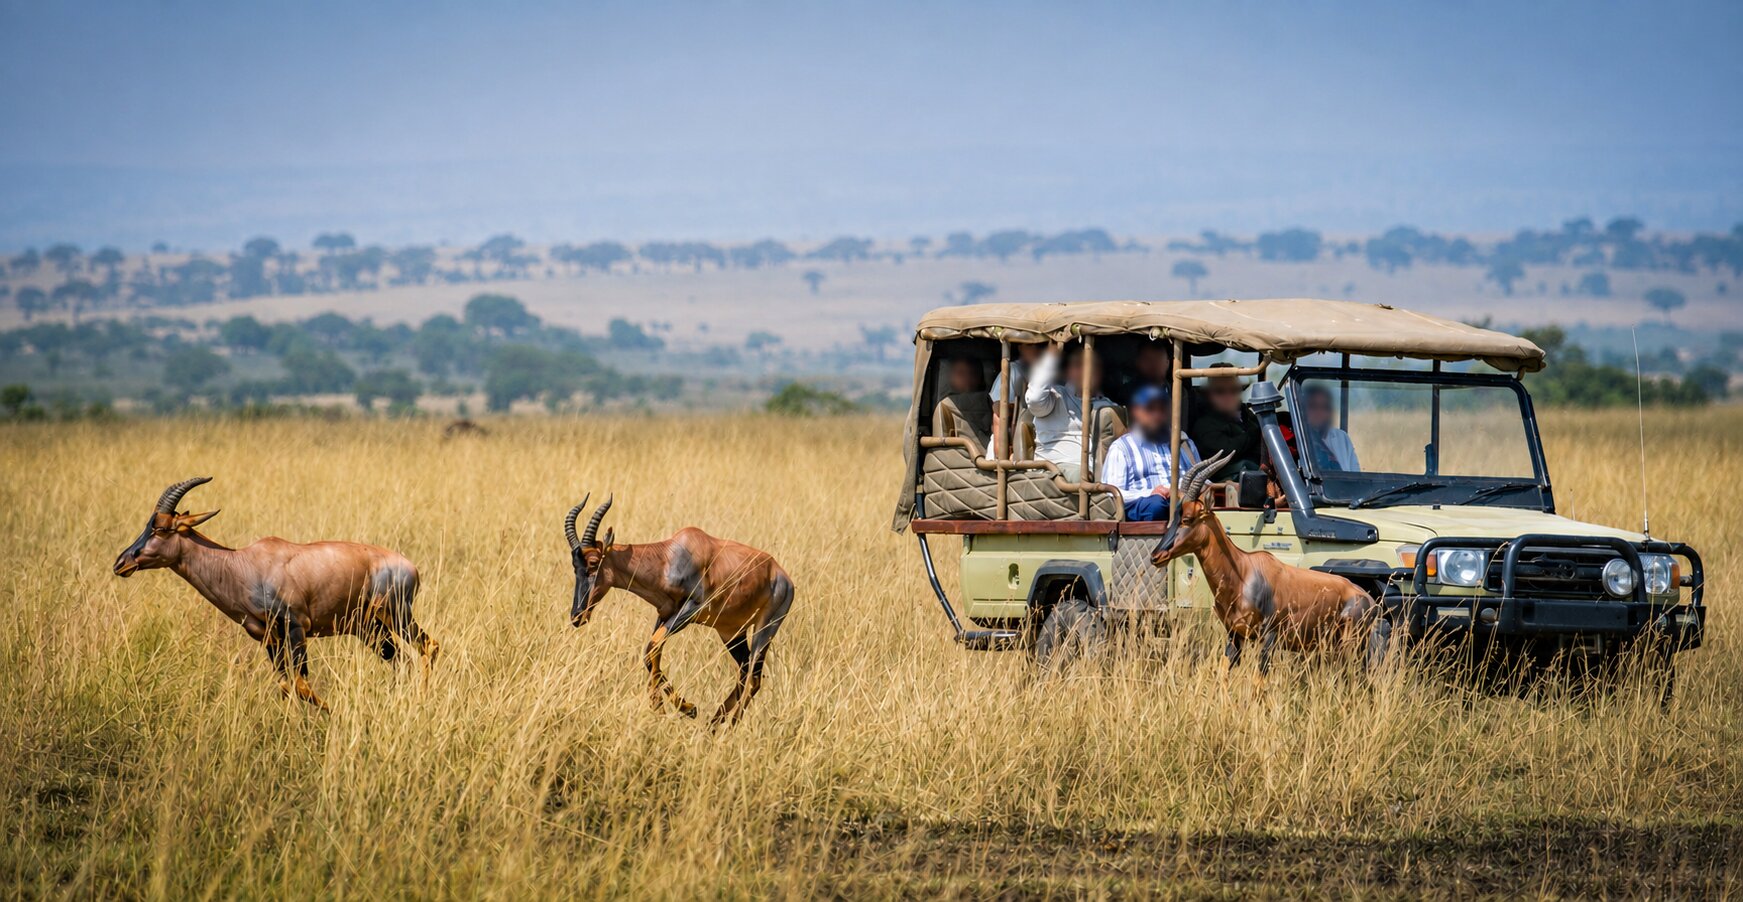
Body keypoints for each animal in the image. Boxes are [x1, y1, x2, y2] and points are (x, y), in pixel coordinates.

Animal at [112, 477, 440, 710]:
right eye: (148, 525)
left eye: (162, 528)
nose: (121, 563)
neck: (243, 563)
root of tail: (410, 567)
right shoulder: (268, 636)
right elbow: (286, 685)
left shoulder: (296, 626)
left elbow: (301, 683)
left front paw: (330, 714)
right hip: (368, 628)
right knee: (400, 659)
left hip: (396, 615)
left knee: (429, 646)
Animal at [564, 495, 796, 728]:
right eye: (574, 565)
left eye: (593, 562)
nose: (577, 616)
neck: (669, 557)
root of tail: (782, 575)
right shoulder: (665, 614)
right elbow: (651, 653)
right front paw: (672, 707)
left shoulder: (692, 609)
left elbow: (651, 648)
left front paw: (682, 708)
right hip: (731, 633)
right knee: (745, 670)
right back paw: (712, 724)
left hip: (765, 628)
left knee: (754, 679)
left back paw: (729, 727)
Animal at [1150, 452, 1391, 674]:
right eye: (1174, 515)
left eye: (1188, 518)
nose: (1156, 556)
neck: (1244, 571)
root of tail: (1369, 599)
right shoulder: (1234, 635)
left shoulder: (1268, 637)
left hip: (1353, 642)